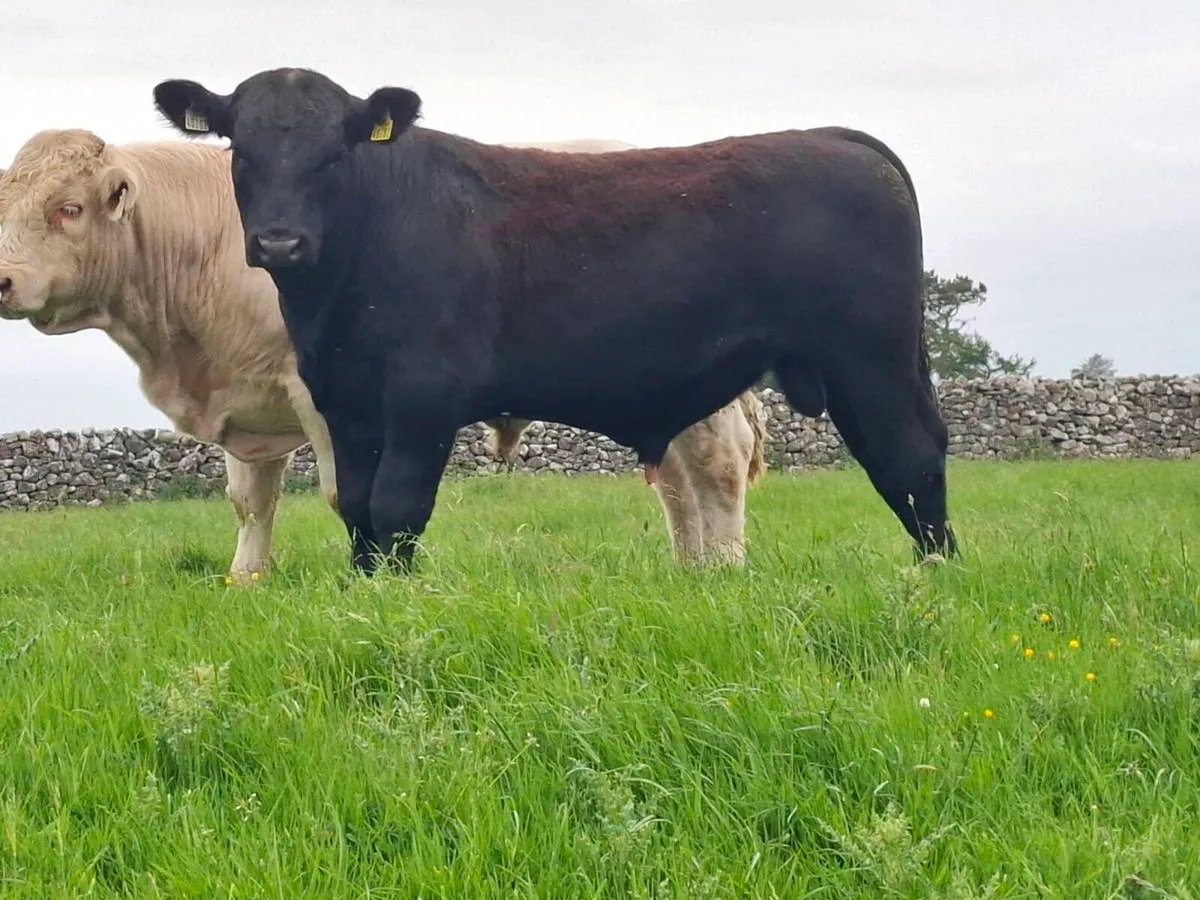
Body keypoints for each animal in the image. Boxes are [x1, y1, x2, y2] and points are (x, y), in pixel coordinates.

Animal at [152, 67, 958, 575]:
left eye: (333, 153)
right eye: (242, 150)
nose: (280, 241)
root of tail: (834, 137)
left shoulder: (422, 397)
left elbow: (397, 504)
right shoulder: (344, 402)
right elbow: (357, 509)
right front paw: (366, 587)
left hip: (871, 362)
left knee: (910, 457)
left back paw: (935, 574)